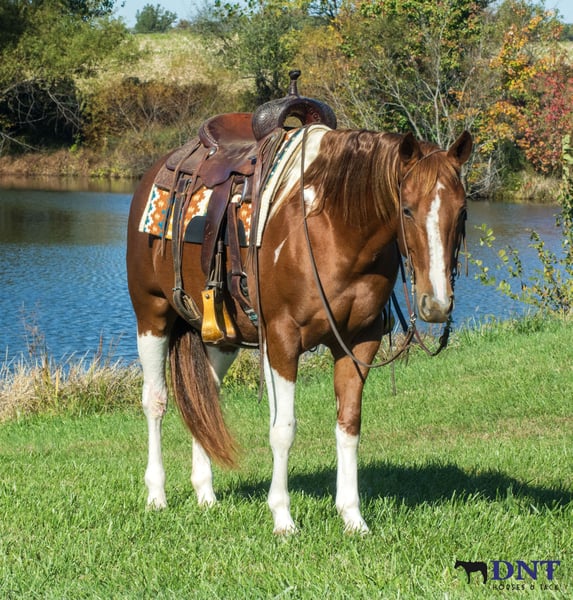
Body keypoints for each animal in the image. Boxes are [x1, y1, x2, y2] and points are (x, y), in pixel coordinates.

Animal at [126, 124, 472, 534]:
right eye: (406, 209)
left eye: (462, 211)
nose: (437, 305)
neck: (334, 230)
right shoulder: (282, 340)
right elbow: (283, 430)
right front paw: (283, 518)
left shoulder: (360, 342)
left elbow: (349, 426)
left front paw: (353, 517)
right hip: (152, 315)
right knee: (155, 402)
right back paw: (156, 496)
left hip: (220, 336)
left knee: (204, 398)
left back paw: (205, 494)